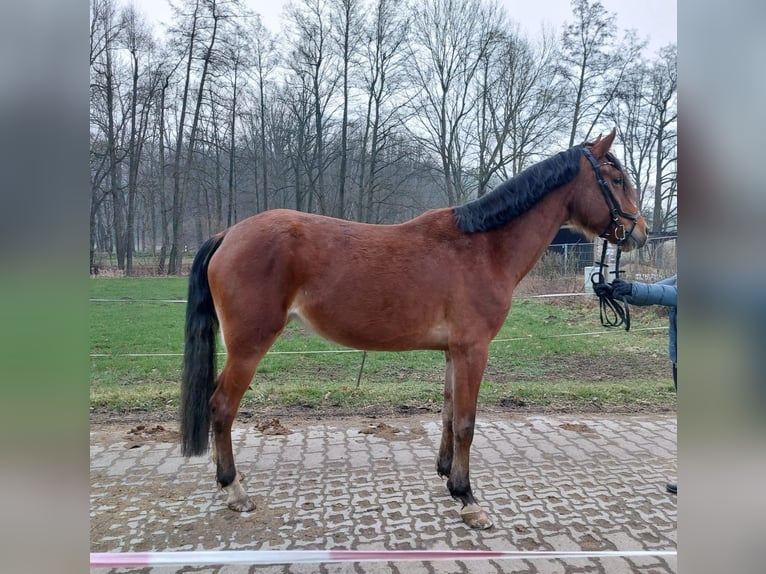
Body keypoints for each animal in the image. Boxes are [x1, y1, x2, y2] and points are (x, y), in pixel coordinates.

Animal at [180, 130, 648, 532]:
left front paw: (447, 477)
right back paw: (234, 490)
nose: (640, 232)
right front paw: (468, 498)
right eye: (617, 179)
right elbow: (466, 423)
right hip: (248, 346)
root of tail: (228, 233)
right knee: (222, 407)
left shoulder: (453, 351)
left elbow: (448, 413)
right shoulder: (473, 349)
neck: (484, 248)